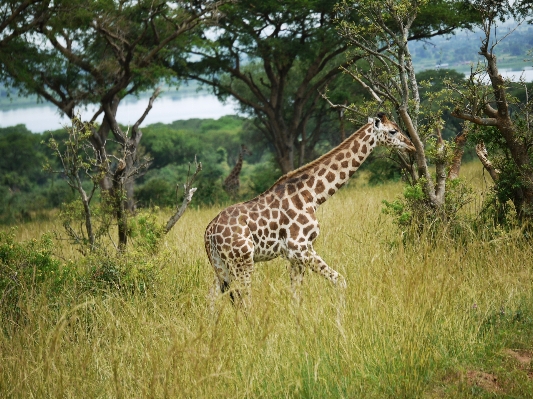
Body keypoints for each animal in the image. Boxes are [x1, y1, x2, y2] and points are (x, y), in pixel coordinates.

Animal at [204, 114, 416, 308]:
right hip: (243, 261)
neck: (312, 196)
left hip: (221, 266)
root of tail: (209, 232)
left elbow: (296, 296)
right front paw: (341, 317)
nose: (412, 146)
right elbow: (340, 281)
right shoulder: (300, 248)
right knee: (245, 300)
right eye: (393, 131)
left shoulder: (297, 254)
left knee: (213, 297)